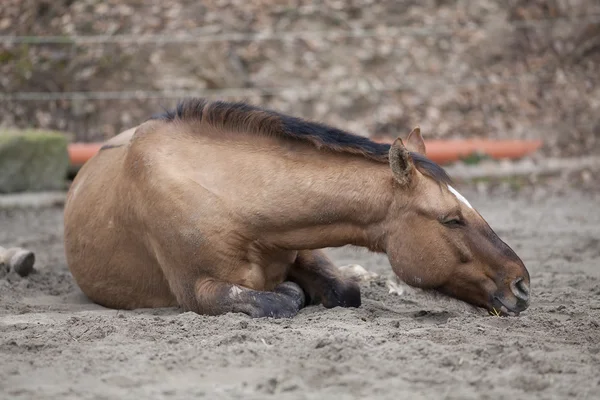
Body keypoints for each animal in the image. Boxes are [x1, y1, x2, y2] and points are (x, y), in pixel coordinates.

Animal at [63, 99, 532, 318]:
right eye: (451, 219)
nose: (522, 285)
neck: (231, 197)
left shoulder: (304, 244)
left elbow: (344, 290)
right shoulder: (198, 290)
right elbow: (280, 299)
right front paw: (293, 293)